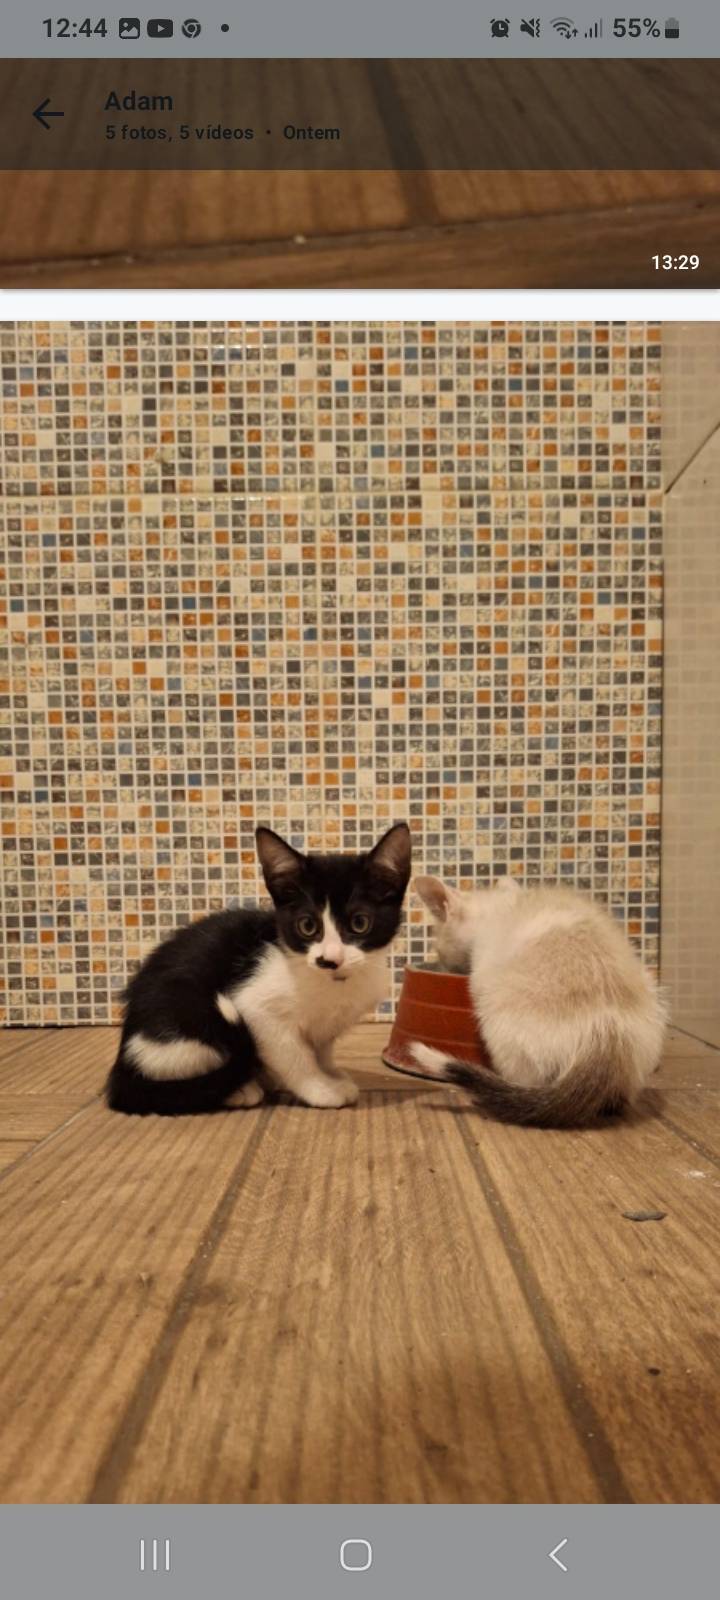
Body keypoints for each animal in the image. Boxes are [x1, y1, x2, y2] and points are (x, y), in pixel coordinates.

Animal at [106, 821, 411, 1115]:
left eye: (360, 923)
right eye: (307, 925)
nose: (330, 959)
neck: (332, 982)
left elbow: (322, 1049)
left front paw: (331, 1072)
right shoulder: (256, 1009)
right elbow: (295, 1056)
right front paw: (321, 1088)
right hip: (188, 1020)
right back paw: (239, 1090)